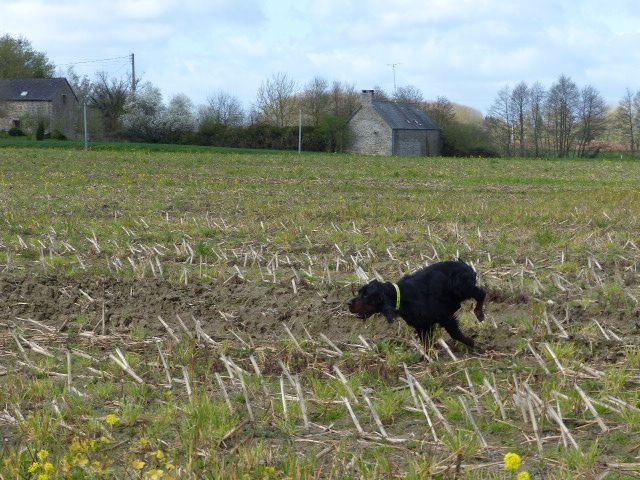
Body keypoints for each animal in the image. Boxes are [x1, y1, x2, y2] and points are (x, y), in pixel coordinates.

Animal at [350, 260, 484, 346]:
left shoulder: (444, 317)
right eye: (360, 292)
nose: (348, 303)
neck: (401, 297)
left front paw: (472, 343)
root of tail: (464, 264)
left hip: (461, 287)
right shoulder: (422, 326)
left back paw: (479, 313)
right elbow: (426, 344)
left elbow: (455, 334)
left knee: (481, 293)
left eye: (366, 295)